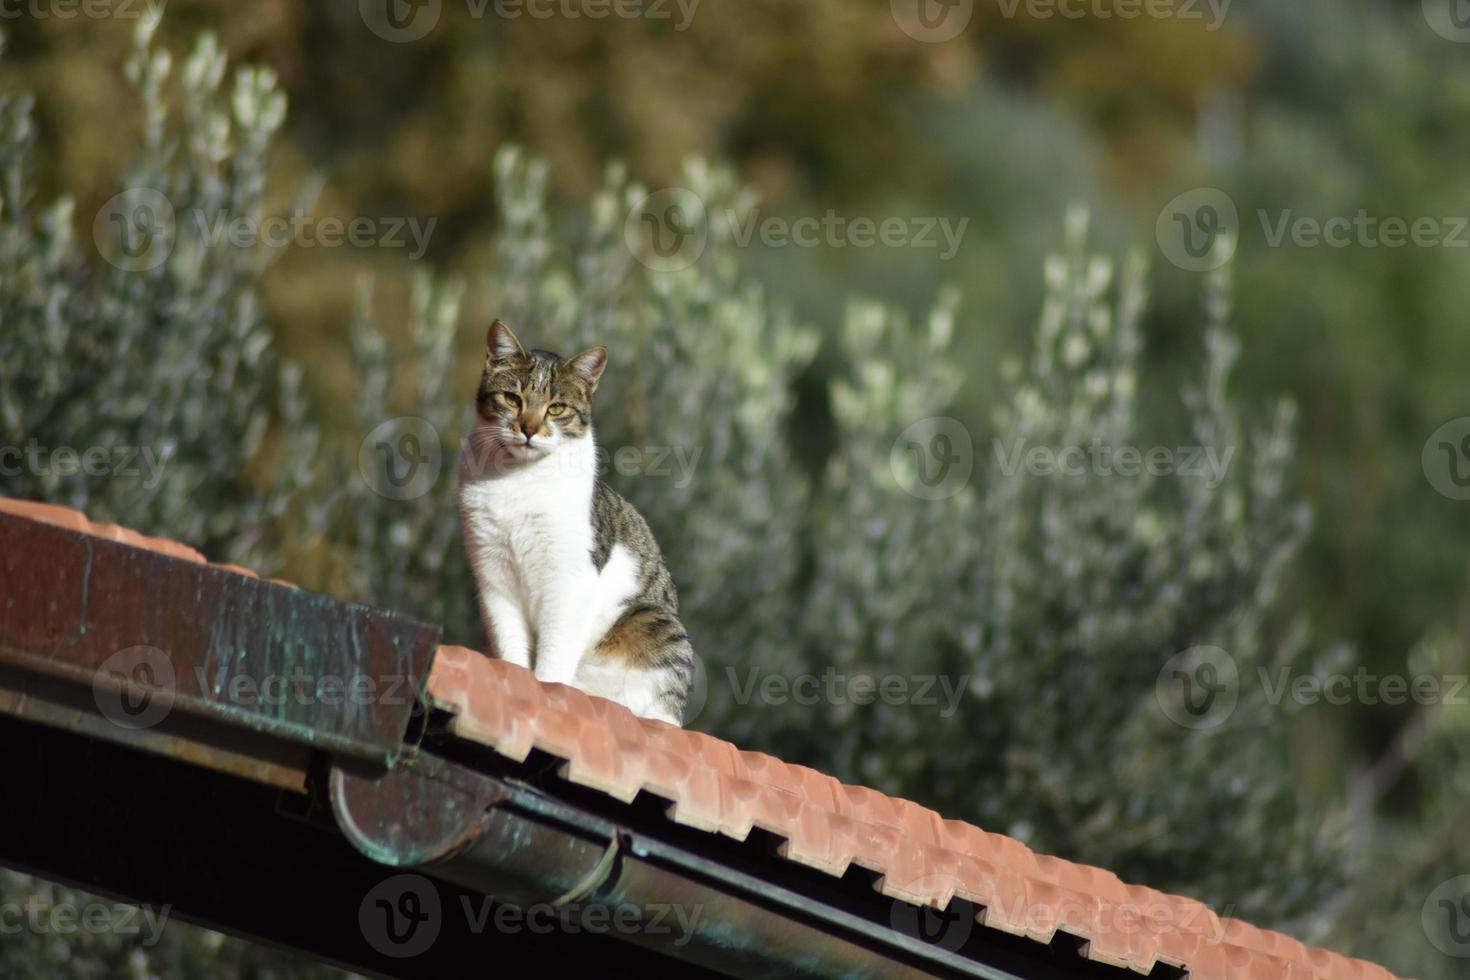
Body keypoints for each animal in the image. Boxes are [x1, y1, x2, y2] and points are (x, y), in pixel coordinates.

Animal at [455, 321, 690, 728]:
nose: (529, 429)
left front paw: (547, 688)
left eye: (557, 408)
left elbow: (554, 653)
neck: (518, 479)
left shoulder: (568, 580)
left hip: (655, 624)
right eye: (512, 399)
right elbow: (510, 641)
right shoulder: (493, 574)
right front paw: (516, 678)